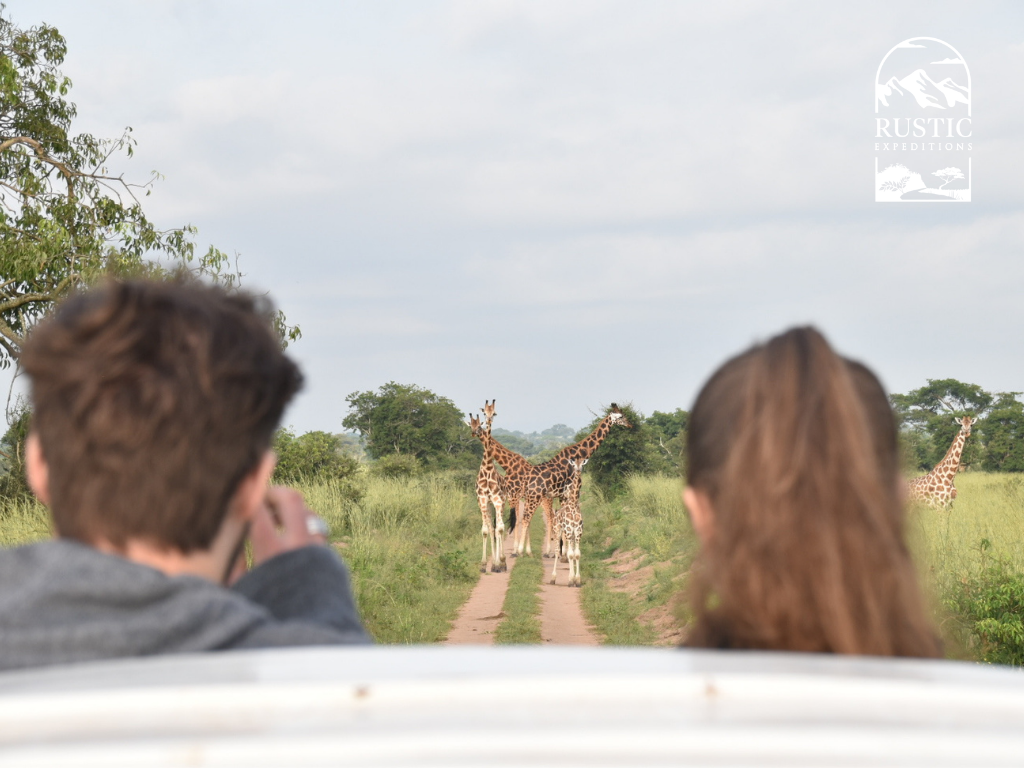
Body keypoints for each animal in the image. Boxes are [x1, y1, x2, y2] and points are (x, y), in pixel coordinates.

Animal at [534, 404, 632, 557]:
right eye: (621, 416)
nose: (630, 425)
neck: (578, 454)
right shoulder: (572, 491)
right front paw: (565, 552)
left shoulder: (565, 494)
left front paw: (564, 550)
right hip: (543, 498)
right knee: (543, 518)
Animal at [550, 457, 586, 587]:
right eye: (574, 464)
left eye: (583, 463)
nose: (578, 470)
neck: (574, 505)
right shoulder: (570, 531)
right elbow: (570, 554)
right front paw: (571, 580)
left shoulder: (578, 532)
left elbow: (577, 554)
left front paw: (577, 580)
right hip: (558, 531)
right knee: (556, 551)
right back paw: (553, 578)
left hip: (571, 535)